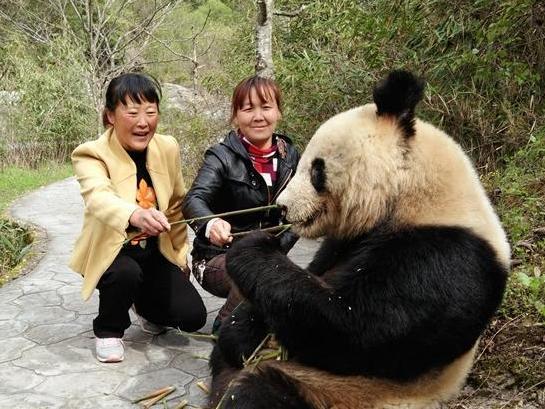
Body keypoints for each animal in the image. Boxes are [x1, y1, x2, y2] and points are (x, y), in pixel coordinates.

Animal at [208, 70, 510, 408]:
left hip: (339, 392)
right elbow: (296, 284)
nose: (283, 207)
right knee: (224, 360)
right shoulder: (347, 240)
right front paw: (241, 333)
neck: (410, 193)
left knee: (256, 393)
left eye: (316, 170)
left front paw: (252, 247)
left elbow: (355, 328)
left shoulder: (446, 256)